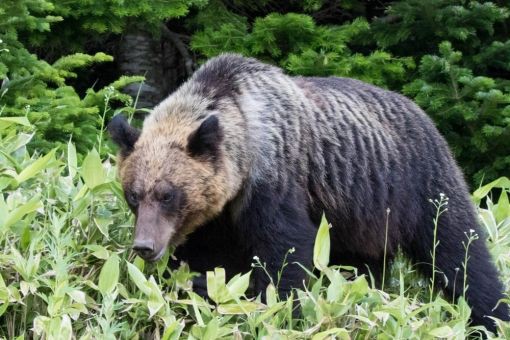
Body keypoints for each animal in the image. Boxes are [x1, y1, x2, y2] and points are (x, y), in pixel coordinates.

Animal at [108, 53, 510, 332]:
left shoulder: (275, 182)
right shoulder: (217, 217)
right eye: (133, 195)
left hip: (418, 183)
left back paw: (493, 316)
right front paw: (197, 288)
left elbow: (285, 255)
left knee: (459, 250)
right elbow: (209, 262)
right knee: (360, 269)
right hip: (359, 218)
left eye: (168, 194)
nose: (145, 246)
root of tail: (421, 110)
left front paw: (282, 310)